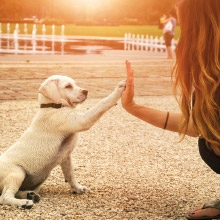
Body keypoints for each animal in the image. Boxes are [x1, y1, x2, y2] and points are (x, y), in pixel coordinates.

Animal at [0, 75, 125, 209]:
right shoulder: (81, 121)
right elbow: (102, 103)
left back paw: (30, 195)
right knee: (4, 197)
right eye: (68, 86)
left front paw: (78, 188)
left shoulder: (66, 157)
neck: (52, 106)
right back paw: (25, 203)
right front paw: (119, 89)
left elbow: (70, 174)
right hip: (17, 173)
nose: (86, 91)